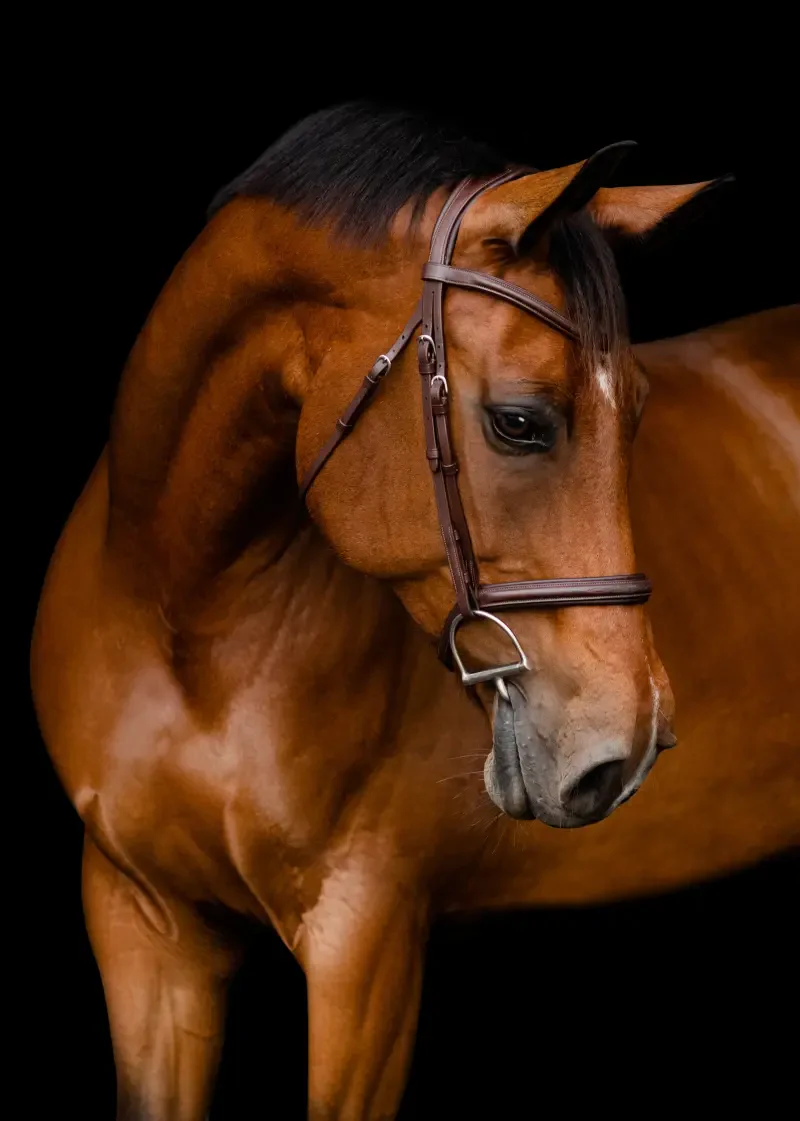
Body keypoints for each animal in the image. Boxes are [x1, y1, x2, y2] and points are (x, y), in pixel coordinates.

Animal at [30, 103, 799, 1120]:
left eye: (636, 414)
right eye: (519, 421)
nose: (625, 748)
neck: (184, 628)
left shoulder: (366, 944)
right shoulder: (140, 923)